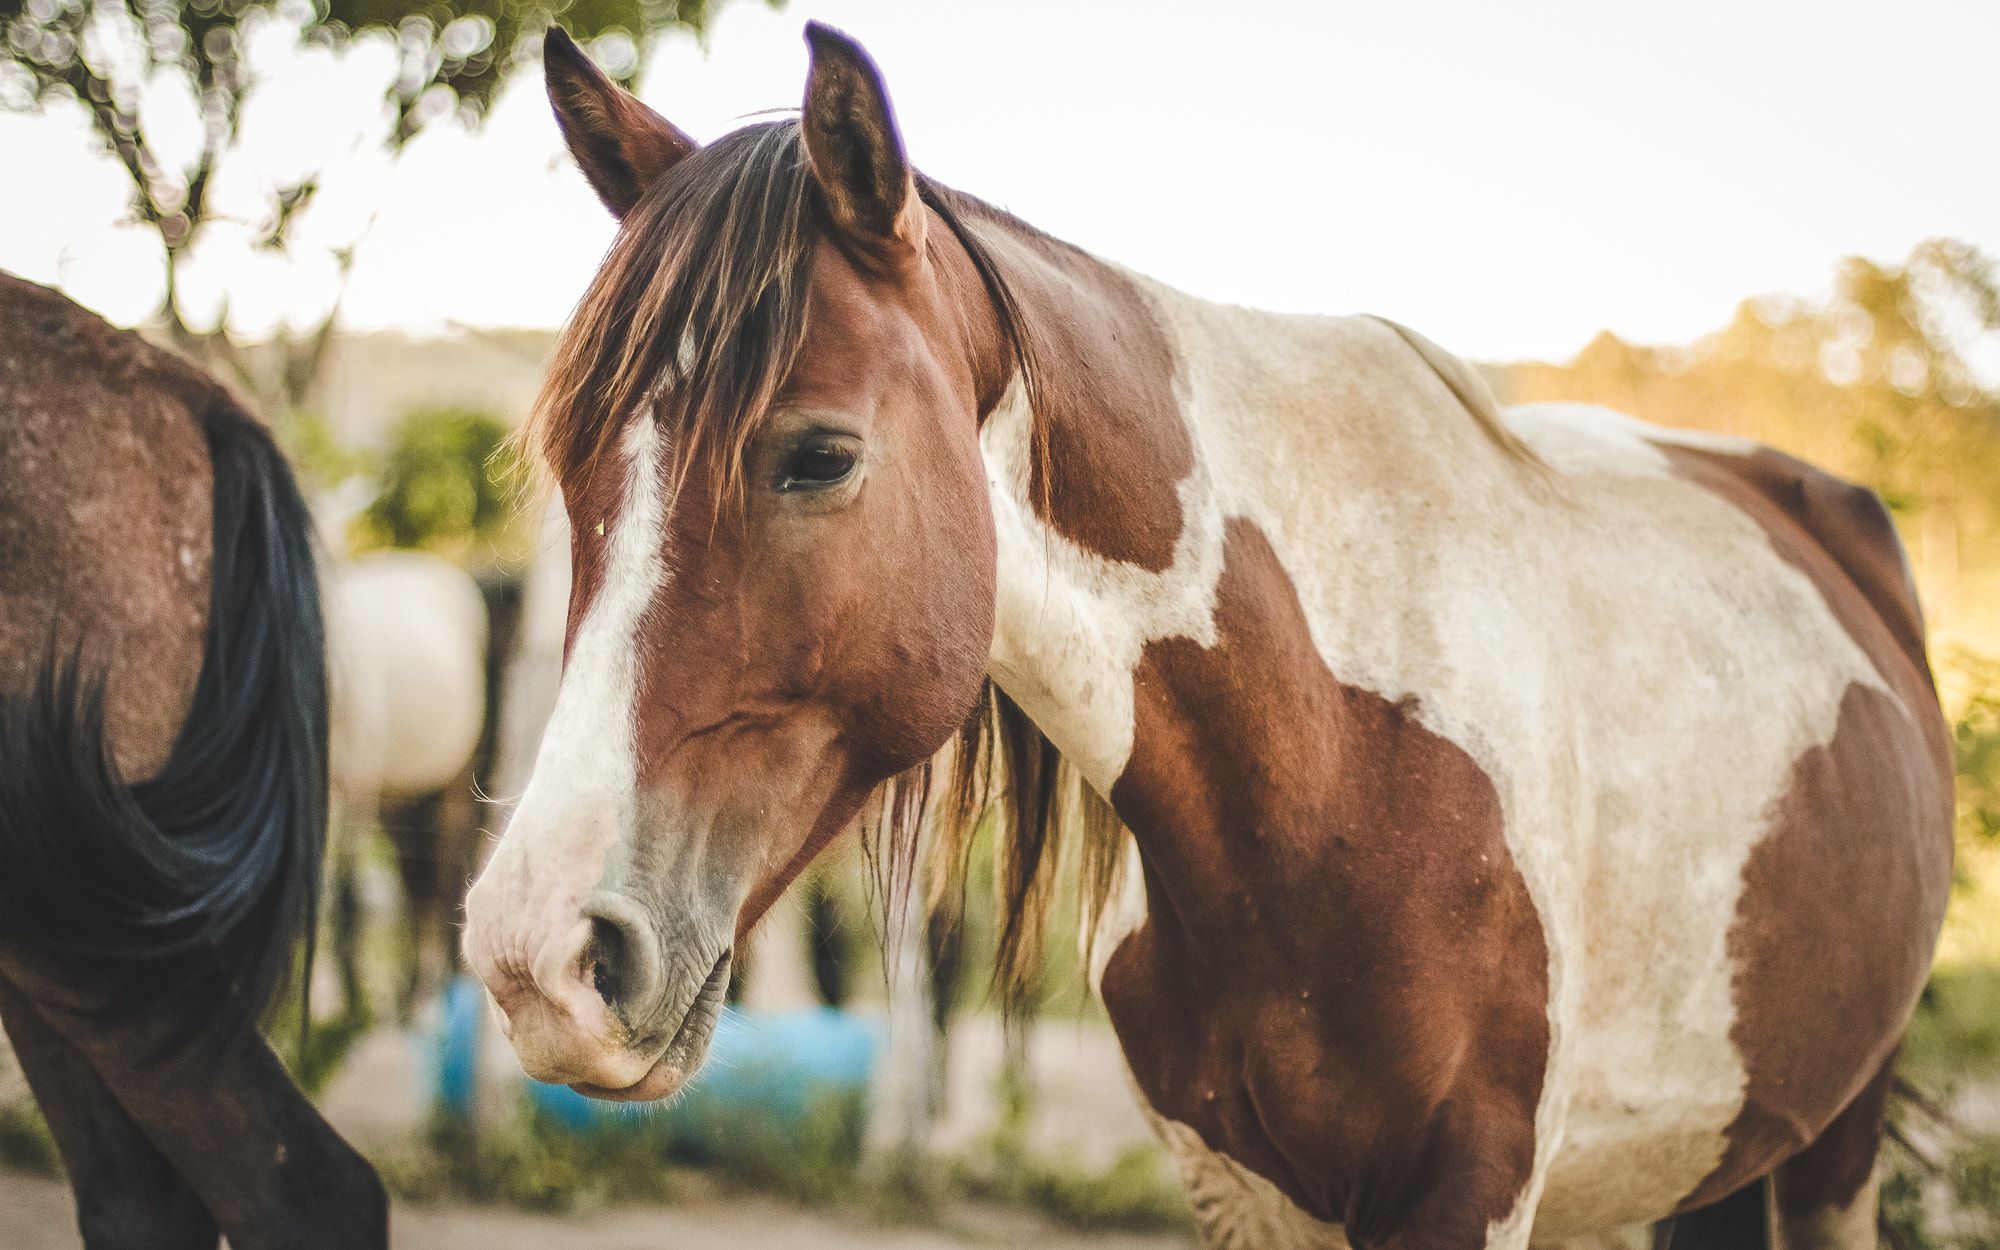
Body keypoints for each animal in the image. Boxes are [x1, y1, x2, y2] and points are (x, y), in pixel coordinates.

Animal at [458, 29, 1952, 1248]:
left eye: (817, 457)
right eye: (573, 465)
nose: (537, 950)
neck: (1332, 764)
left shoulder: (1468, 1192)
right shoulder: (1237, 1191)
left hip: (1837, 1136)